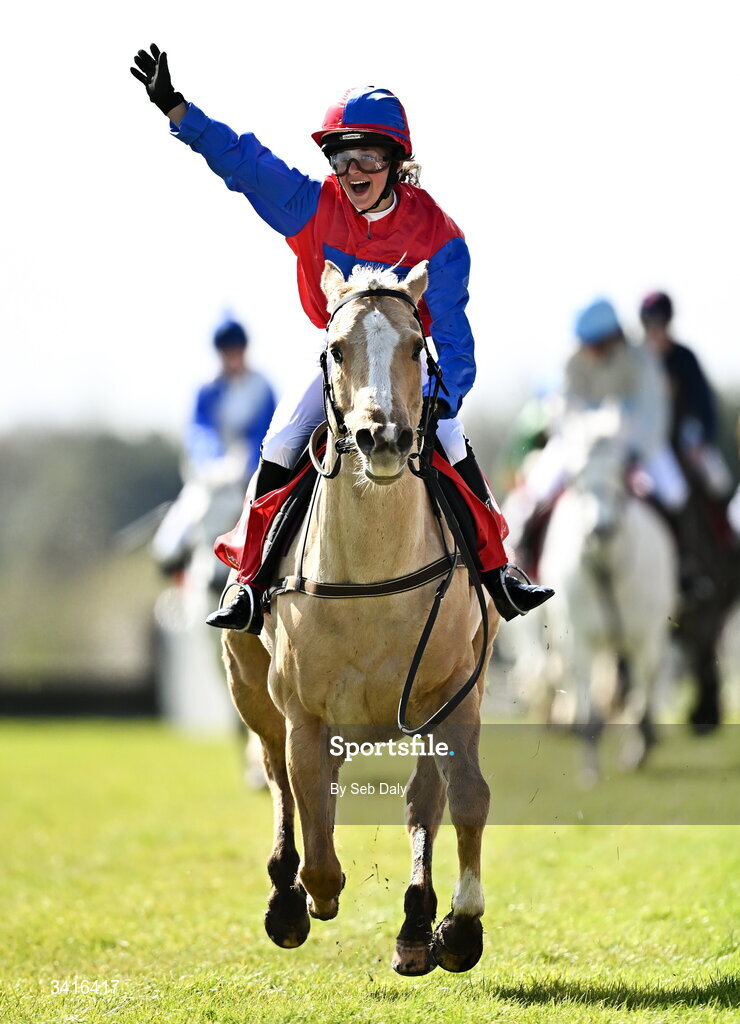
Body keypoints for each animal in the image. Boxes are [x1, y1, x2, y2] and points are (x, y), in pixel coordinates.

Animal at [221, 261, 498, 975]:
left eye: (416, 347)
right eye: (338, 350)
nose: (385, 437)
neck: (374, 569)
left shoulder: (452, 690)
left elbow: (463, 796)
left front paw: (457, 927)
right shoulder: (303, 710)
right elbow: (314, 829)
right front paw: (309, 898)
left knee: (419, 799)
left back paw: (416, 925)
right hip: (251, 689)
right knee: (280, 781)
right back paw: (287, 899)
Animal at [538, 406, 678, 779]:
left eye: (620, 469)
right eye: (576, 475)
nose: (601, 529)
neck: (607, 566)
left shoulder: (646, 637)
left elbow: (643, 694)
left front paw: (639, 749)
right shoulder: (581, 640)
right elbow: (588, 706)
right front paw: (590, 765)